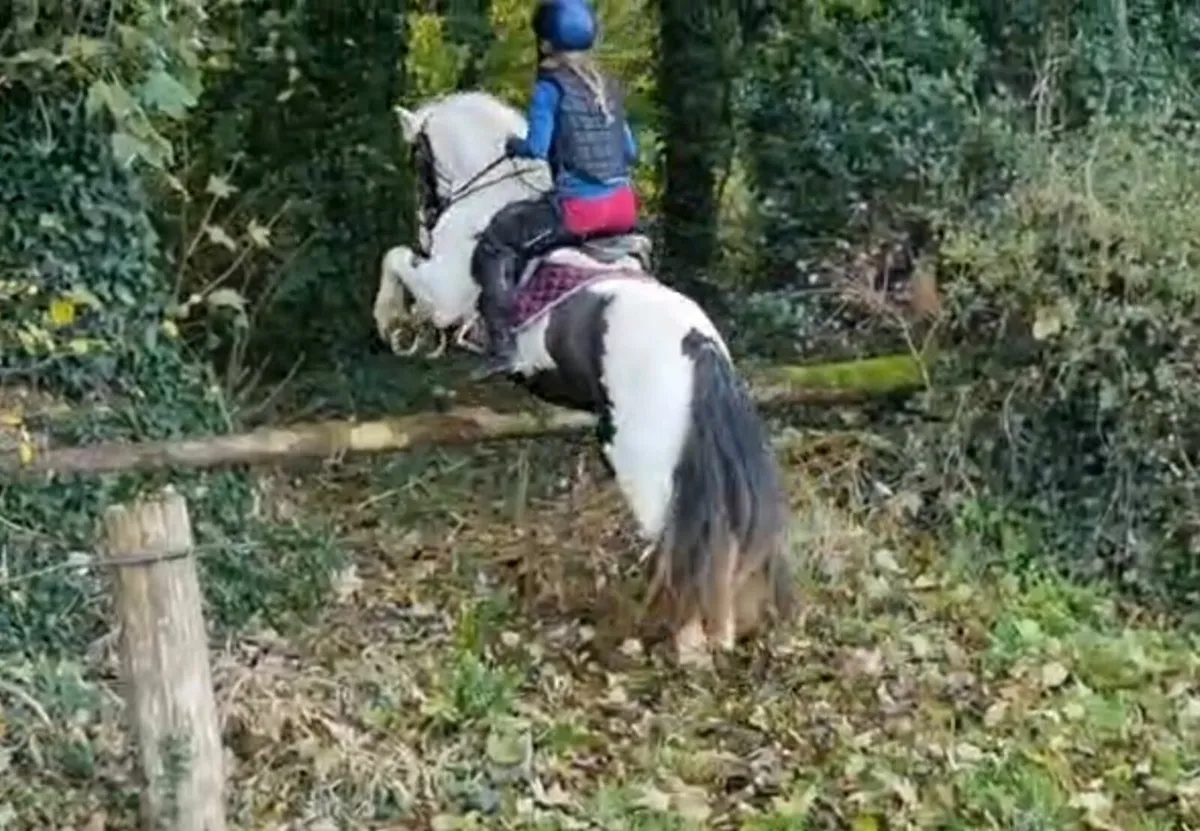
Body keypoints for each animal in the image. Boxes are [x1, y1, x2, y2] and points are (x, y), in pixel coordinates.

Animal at [373, 90, 794, 666]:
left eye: (419, 163)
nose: (427, 224)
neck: (491, 197)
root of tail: (699, 347)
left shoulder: (444, 293)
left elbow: (395, 260)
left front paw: (392, 323)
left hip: (642, 466)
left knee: (676, 542)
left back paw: (682, 641)